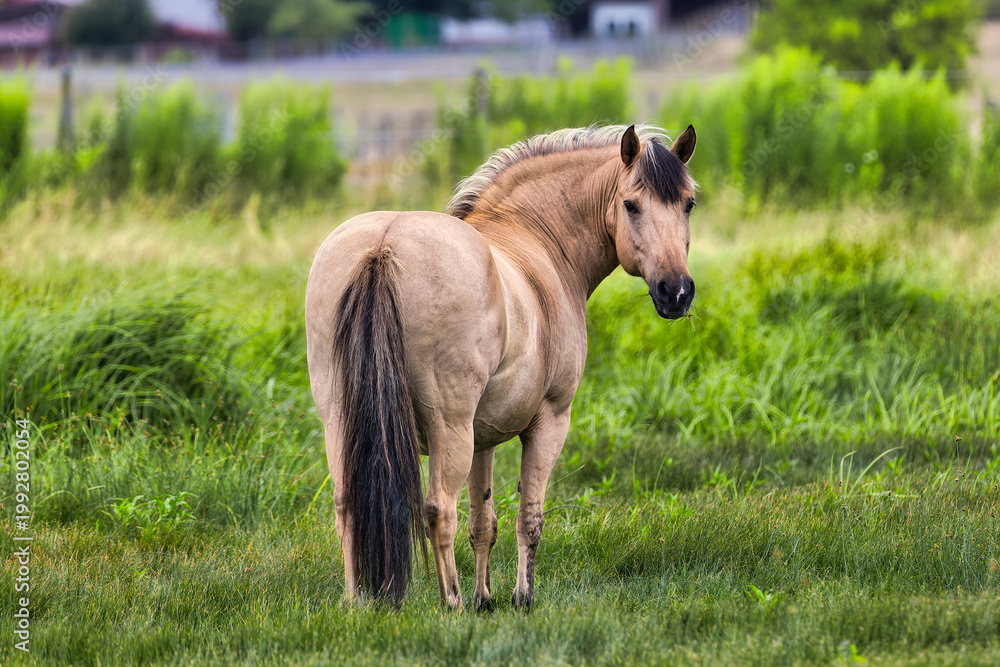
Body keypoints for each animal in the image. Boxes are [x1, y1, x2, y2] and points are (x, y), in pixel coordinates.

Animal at [305, 123, 697, 610]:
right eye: (631, 204)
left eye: (688, 203)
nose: (676, 292)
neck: (536, 242)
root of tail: (383, 246)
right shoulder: (549, 422)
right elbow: (529, 518)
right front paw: (520, 598)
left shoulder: (483, 440)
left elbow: (483, 523)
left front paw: (485, 599)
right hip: (450, 427)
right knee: (439, 508)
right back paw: (450, 602)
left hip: (341, 421)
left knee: (347, 504)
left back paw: (357, 601)